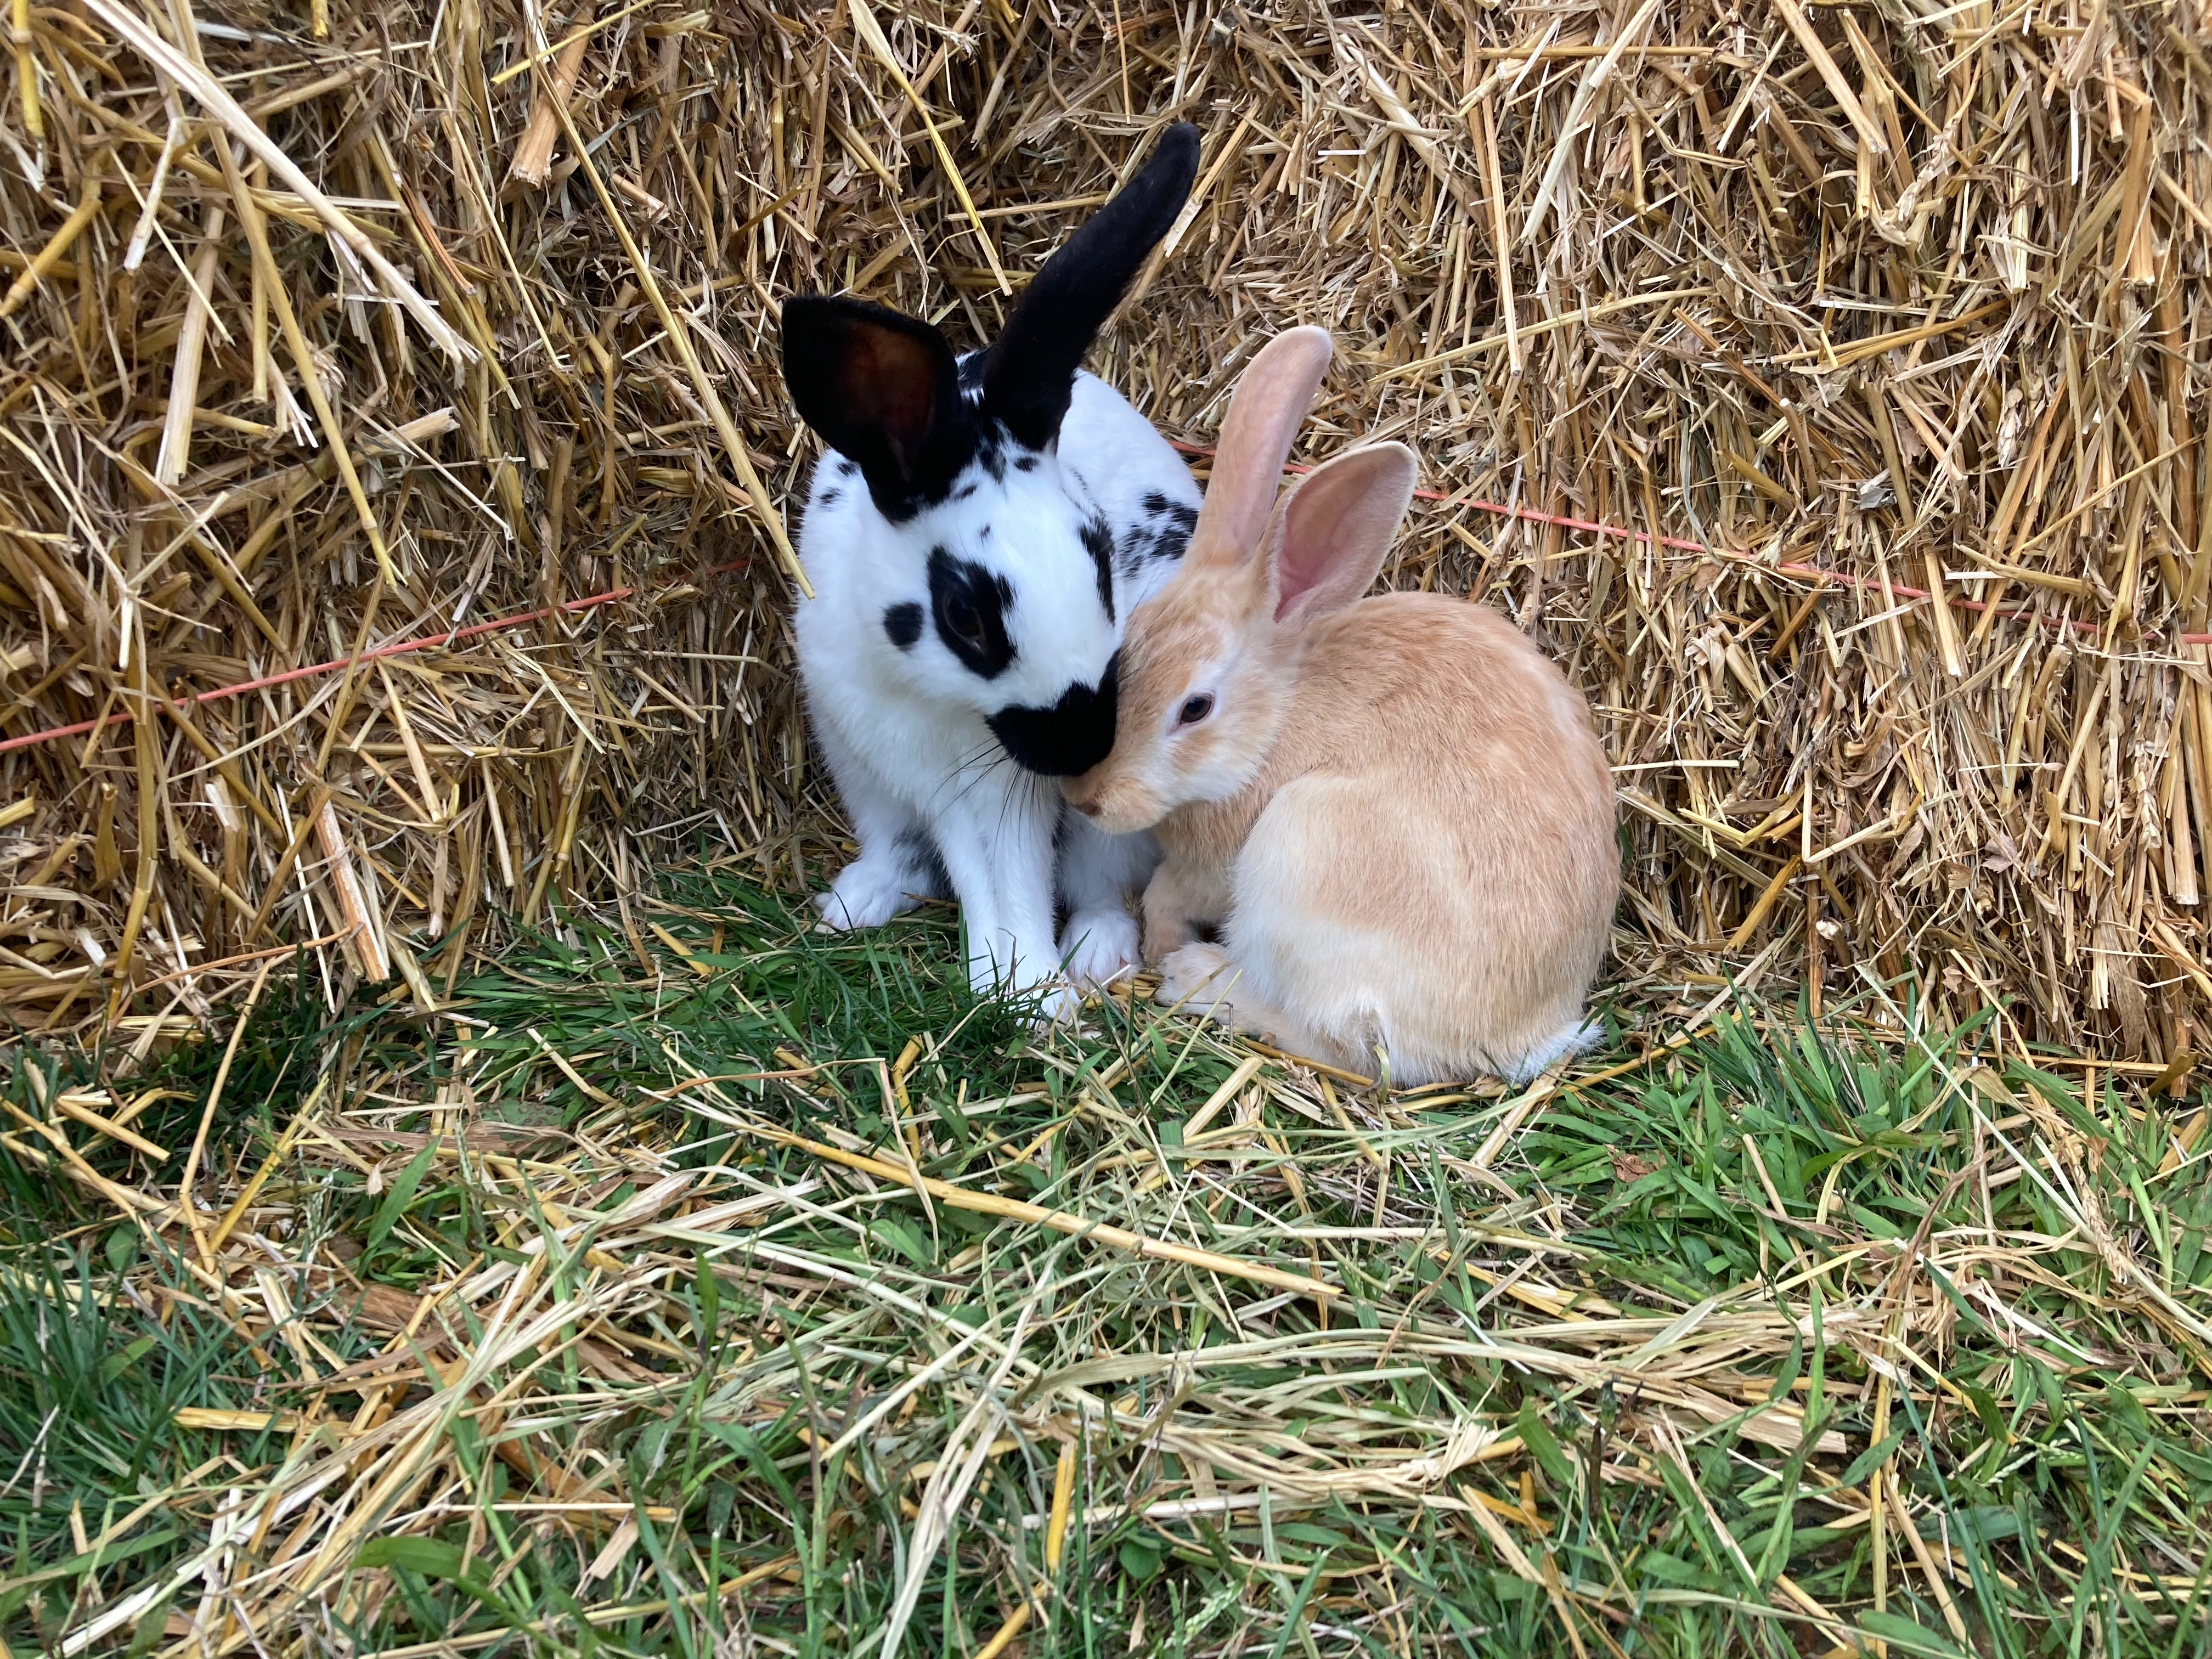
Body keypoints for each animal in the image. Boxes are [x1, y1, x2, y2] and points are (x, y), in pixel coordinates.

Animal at [780, 124, 1204, 1017]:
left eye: (1102, 556)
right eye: (965, 616)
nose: (1083, 746)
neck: (938, 702)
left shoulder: (1013, 790)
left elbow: (1017, 877)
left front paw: (1036, 994)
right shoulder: (919, 779)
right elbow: (970, 872)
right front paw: (1003, 984)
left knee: (1104, 882)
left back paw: (1096, 952)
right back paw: (858, 900)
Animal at [1060, 326, 1618, 1085]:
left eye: (1195, 708)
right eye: (1126, 647)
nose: (1088, 798)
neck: (1272, 724)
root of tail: (1529, 1035)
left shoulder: (1218, 865)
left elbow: (1169, 894)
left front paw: (1159, 949)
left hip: (1298, 852)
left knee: (1342, 1043)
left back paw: (1196, 978)